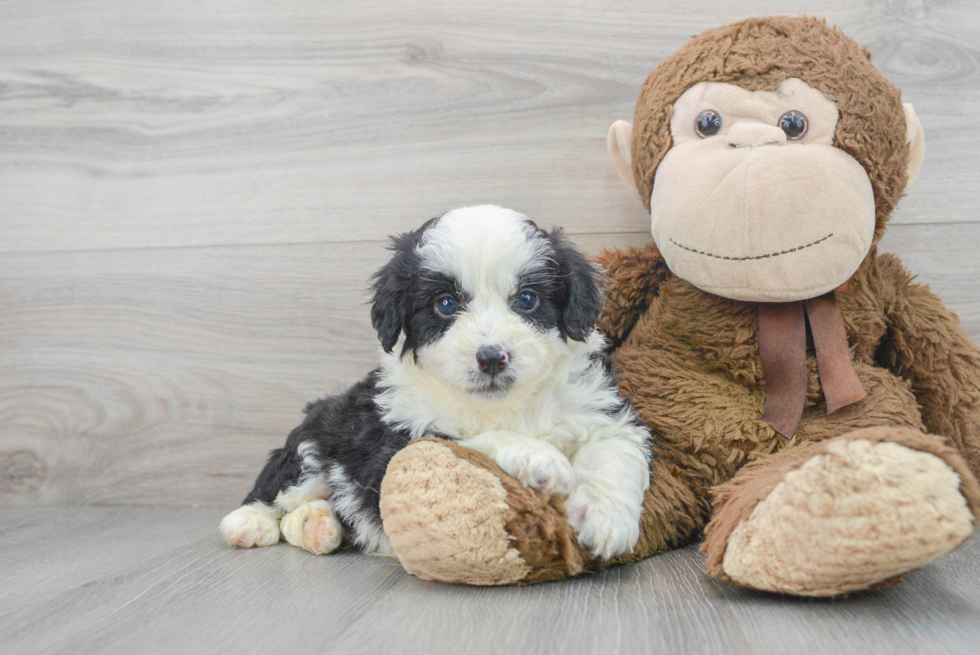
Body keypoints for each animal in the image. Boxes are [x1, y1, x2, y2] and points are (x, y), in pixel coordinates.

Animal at [218, 205, 656, 560]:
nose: (491, 357)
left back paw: (320, 527)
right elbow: (468, 441)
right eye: (445, 305)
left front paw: (606, 519)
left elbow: (613, 454)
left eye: (527, 300)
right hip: (311, 447)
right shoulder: (401, 443)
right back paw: (248, 523)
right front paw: (536, 457)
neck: (504, 406)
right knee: (277, 488)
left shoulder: (600, 411)